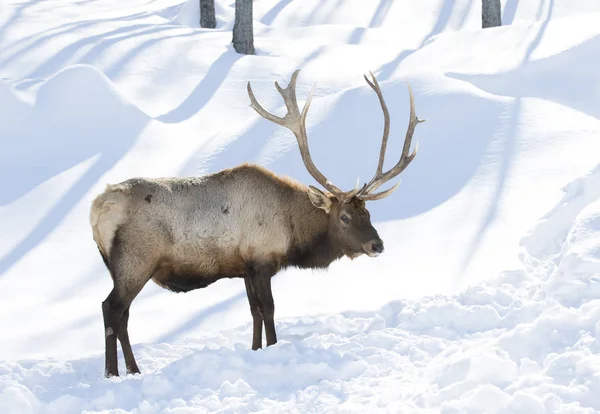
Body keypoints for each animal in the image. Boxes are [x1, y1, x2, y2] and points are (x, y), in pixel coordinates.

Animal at [90, 69, 426, 376]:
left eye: (367, 213)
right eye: (344, 217)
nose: (377, 244)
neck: (293, 232)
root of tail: (97, 208)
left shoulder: (245, 267)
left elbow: (253, 311)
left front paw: (254, 350)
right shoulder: (263, 261)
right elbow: (269, 309)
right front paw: (273, 347)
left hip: (121, 268)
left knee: (123, 316)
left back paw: (131, 369)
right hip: (135, 262)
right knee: (111, 309)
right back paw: (114, 373)